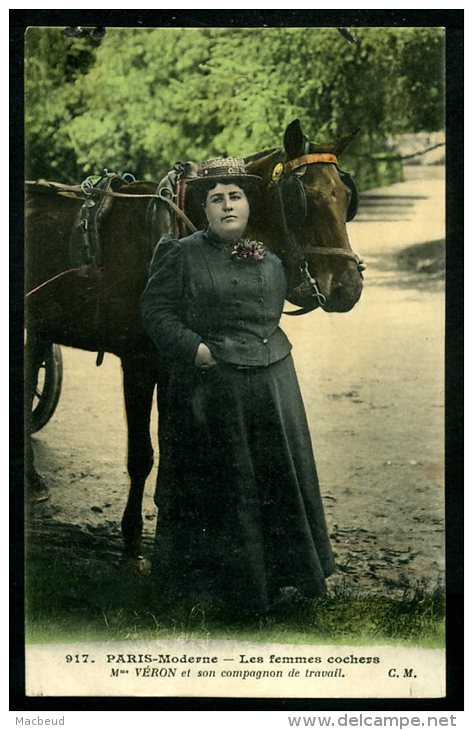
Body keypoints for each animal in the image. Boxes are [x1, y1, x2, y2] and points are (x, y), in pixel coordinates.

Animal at [24, 121, 362, 556]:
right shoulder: (139, 361)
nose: (350, 289)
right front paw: (132, 534)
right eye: (305, 200)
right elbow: (142, 454)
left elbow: (175, 444)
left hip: (39, 328)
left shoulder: (177, 363)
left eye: (346, 197)